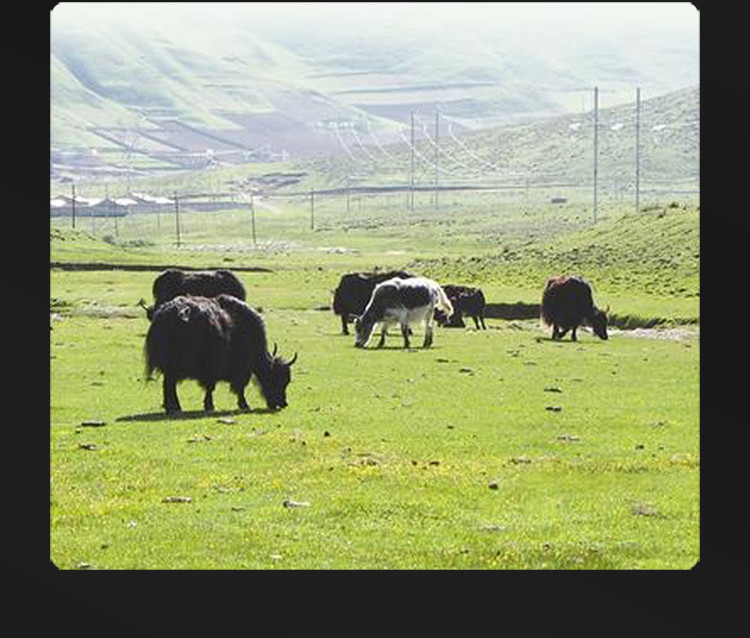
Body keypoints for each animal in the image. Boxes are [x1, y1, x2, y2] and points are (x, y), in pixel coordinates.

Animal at [145, 296, 298, 416]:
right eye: (277, 379)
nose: (283, 403)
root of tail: (164, 317)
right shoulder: (233, 369)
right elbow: (234, 388)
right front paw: (241, 405)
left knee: (168, 385)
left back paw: (171, 407)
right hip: (174, 367)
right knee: (169, 385)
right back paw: (175, 408)